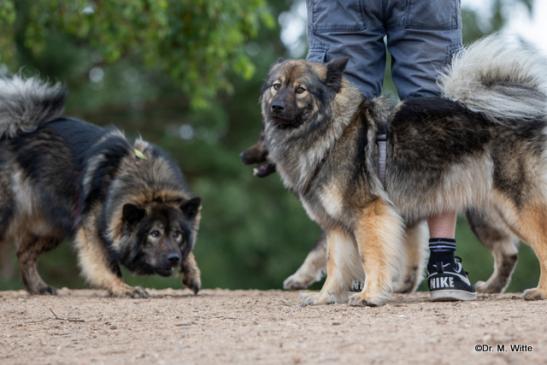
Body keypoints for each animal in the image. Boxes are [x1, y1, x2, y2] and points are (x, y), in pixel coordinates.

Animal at [0, 76, 202, 296]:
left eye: (177, 234)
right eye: (154, 234)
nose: (174, 258)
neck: (149, 184)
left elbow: (190, 252)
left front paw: (192, 272)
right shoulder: (92, 232)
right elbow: (106, 265)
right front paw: (123, 288)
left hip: (50, 228)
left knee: (24, 254)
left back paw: (38, 287)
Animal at [260, 35, 547, 306]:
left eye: (300, 90)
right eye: (276, 86)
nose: (277, 107)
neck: (332, 130)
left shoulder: (370, 212)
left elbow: (370, 256)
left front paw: (369, 295)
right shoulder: (338, 226)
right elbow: (335, 264)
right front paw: (325, 297)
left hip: (517, 207)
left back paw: (540, 291)